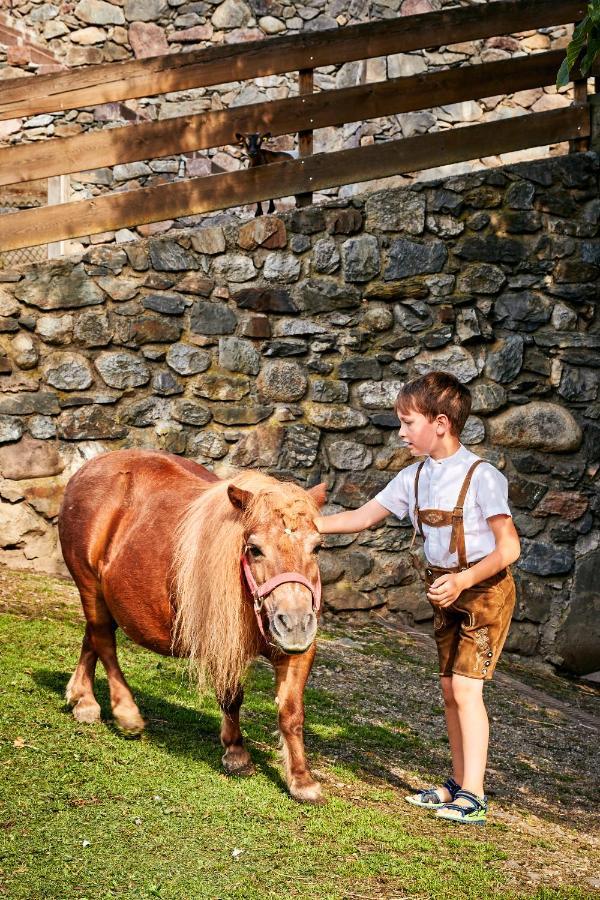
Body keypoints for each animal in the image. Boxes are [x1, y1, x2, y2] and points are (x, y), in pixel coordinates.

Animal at [57, 450, 328, 800]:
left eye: (317, 547)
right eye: (255, 549)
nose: (295, 624)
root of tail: (89, 468)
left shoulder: (298, 651)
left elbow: (291, 713)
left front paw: (301, 779)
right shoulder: (222, 644)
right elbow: (231, 697)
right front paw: (236, 753)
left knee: (92, 635)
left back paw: (82, 699)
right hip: (89, 586)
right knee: (103, 640)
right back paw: (123, 711)